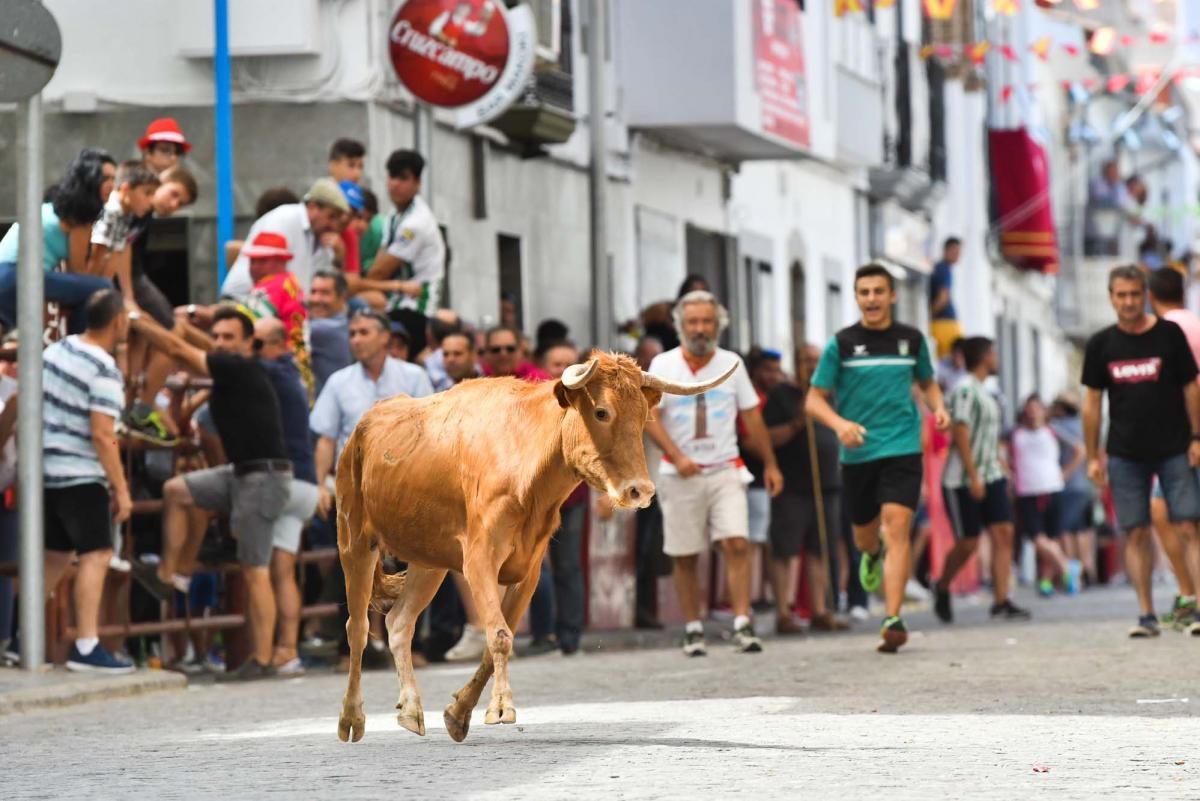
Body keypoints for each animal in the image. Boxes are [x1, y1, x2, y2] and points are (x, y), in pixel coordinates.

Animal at [333, 350, 734, 743]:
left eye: (642, 418)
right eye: (602, 412)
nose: (640, 491)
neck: (527, 468)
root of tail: (363, 427)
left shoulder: (528, 571)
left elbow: (496, 638)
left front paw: (459, 713)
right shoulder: (478, 560)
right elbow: (499, 636)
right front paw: (500, 708)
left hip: (429, 561)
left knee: (400, 622)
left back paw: (412, 710)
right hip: (355, 542)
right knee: (358, 628)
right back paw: (351, 717)